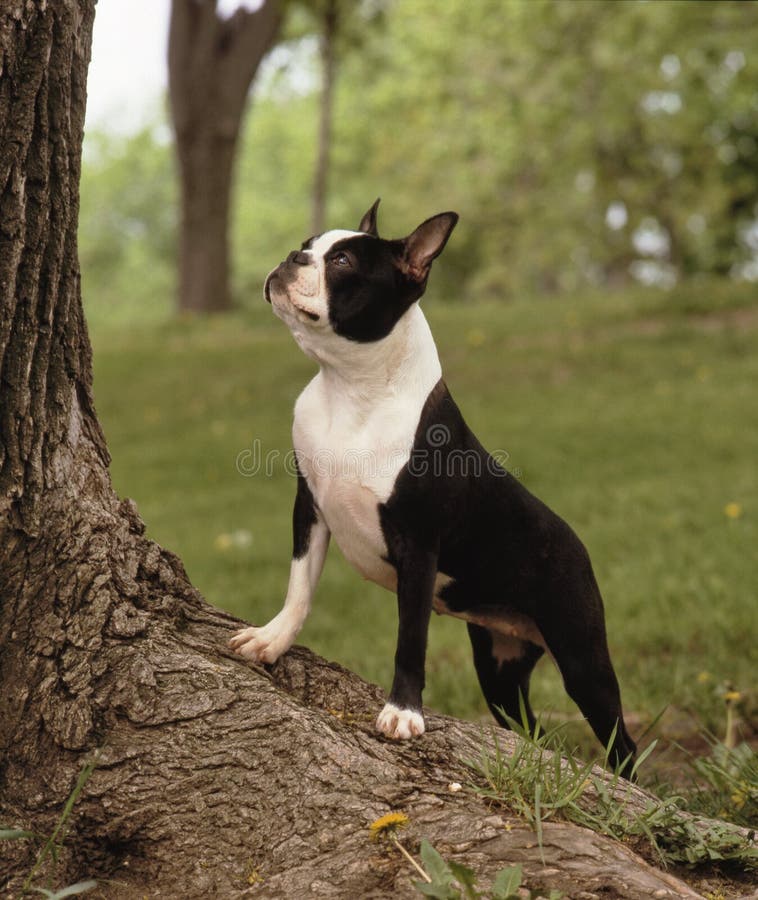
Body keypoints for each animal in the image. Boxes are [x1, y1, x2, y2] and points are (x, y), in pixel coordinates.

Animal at [232, 200, 640, 776]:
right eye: (308, 245)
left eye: (342, 262)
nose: (292, 256)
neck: (350, 389)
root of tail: (577, 544)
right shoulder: (309, 508)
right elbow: (299, 587)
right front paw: (272, 640)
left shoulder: (419, 546)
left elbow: (411, 637)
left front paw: (403, 713)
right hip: (499, 668)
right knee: (528, 727)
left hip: (581, 654)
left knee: (620, 740)